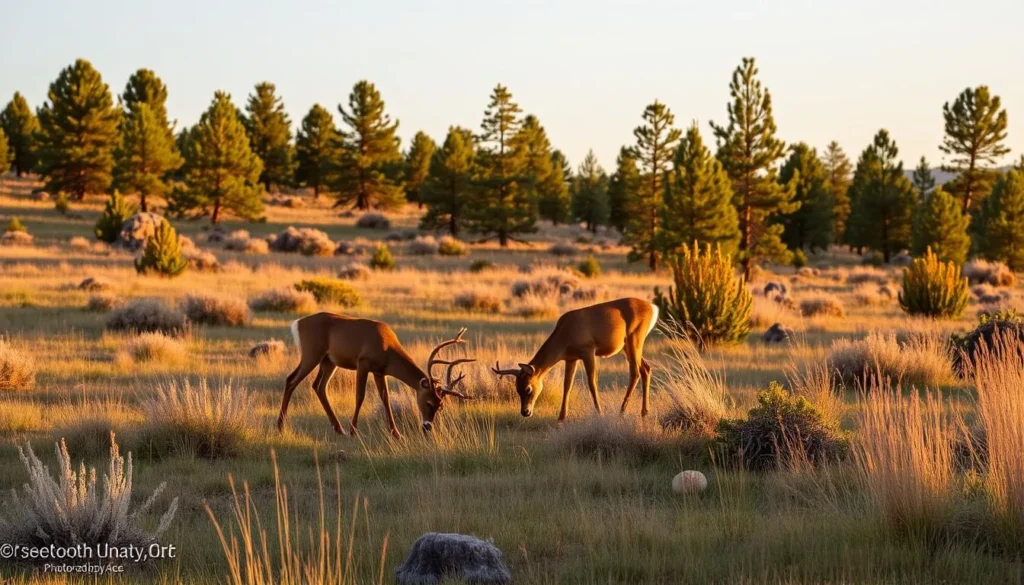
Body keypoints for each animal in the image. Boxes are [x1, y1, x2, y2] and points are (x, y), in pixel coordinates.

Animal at [277, 312, 475, 438]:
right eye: (428, 402)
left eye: (440, 405)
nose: (427, 426)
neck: (388, 348)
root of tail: (299, 323)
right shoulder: (363, 363)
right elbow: (360, 396)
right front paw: (354, 431)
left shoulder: (380, 372)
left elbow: (385, 398)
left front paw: (396, 433)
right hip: (312, 353)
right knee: (291, 380)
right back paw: (280, 426)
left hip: (328, 361)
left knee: (319, 386)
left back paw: (338, 428)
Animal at [492, 297, 659, 421]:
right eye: (517, 388)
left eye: (528, 388)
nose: (525, 412)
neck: (565, 335)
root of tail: (653, 307)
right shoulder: (571, 358)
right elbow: (567, 385)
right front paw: (561, 418)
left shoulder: (588, 350)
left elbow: (592, 384)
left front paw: (599, 413)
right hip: (627, 347)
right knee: (646, 368)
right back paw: (644, 413)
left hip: (634, 339)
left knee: (635, 372)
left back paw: (621, 412)